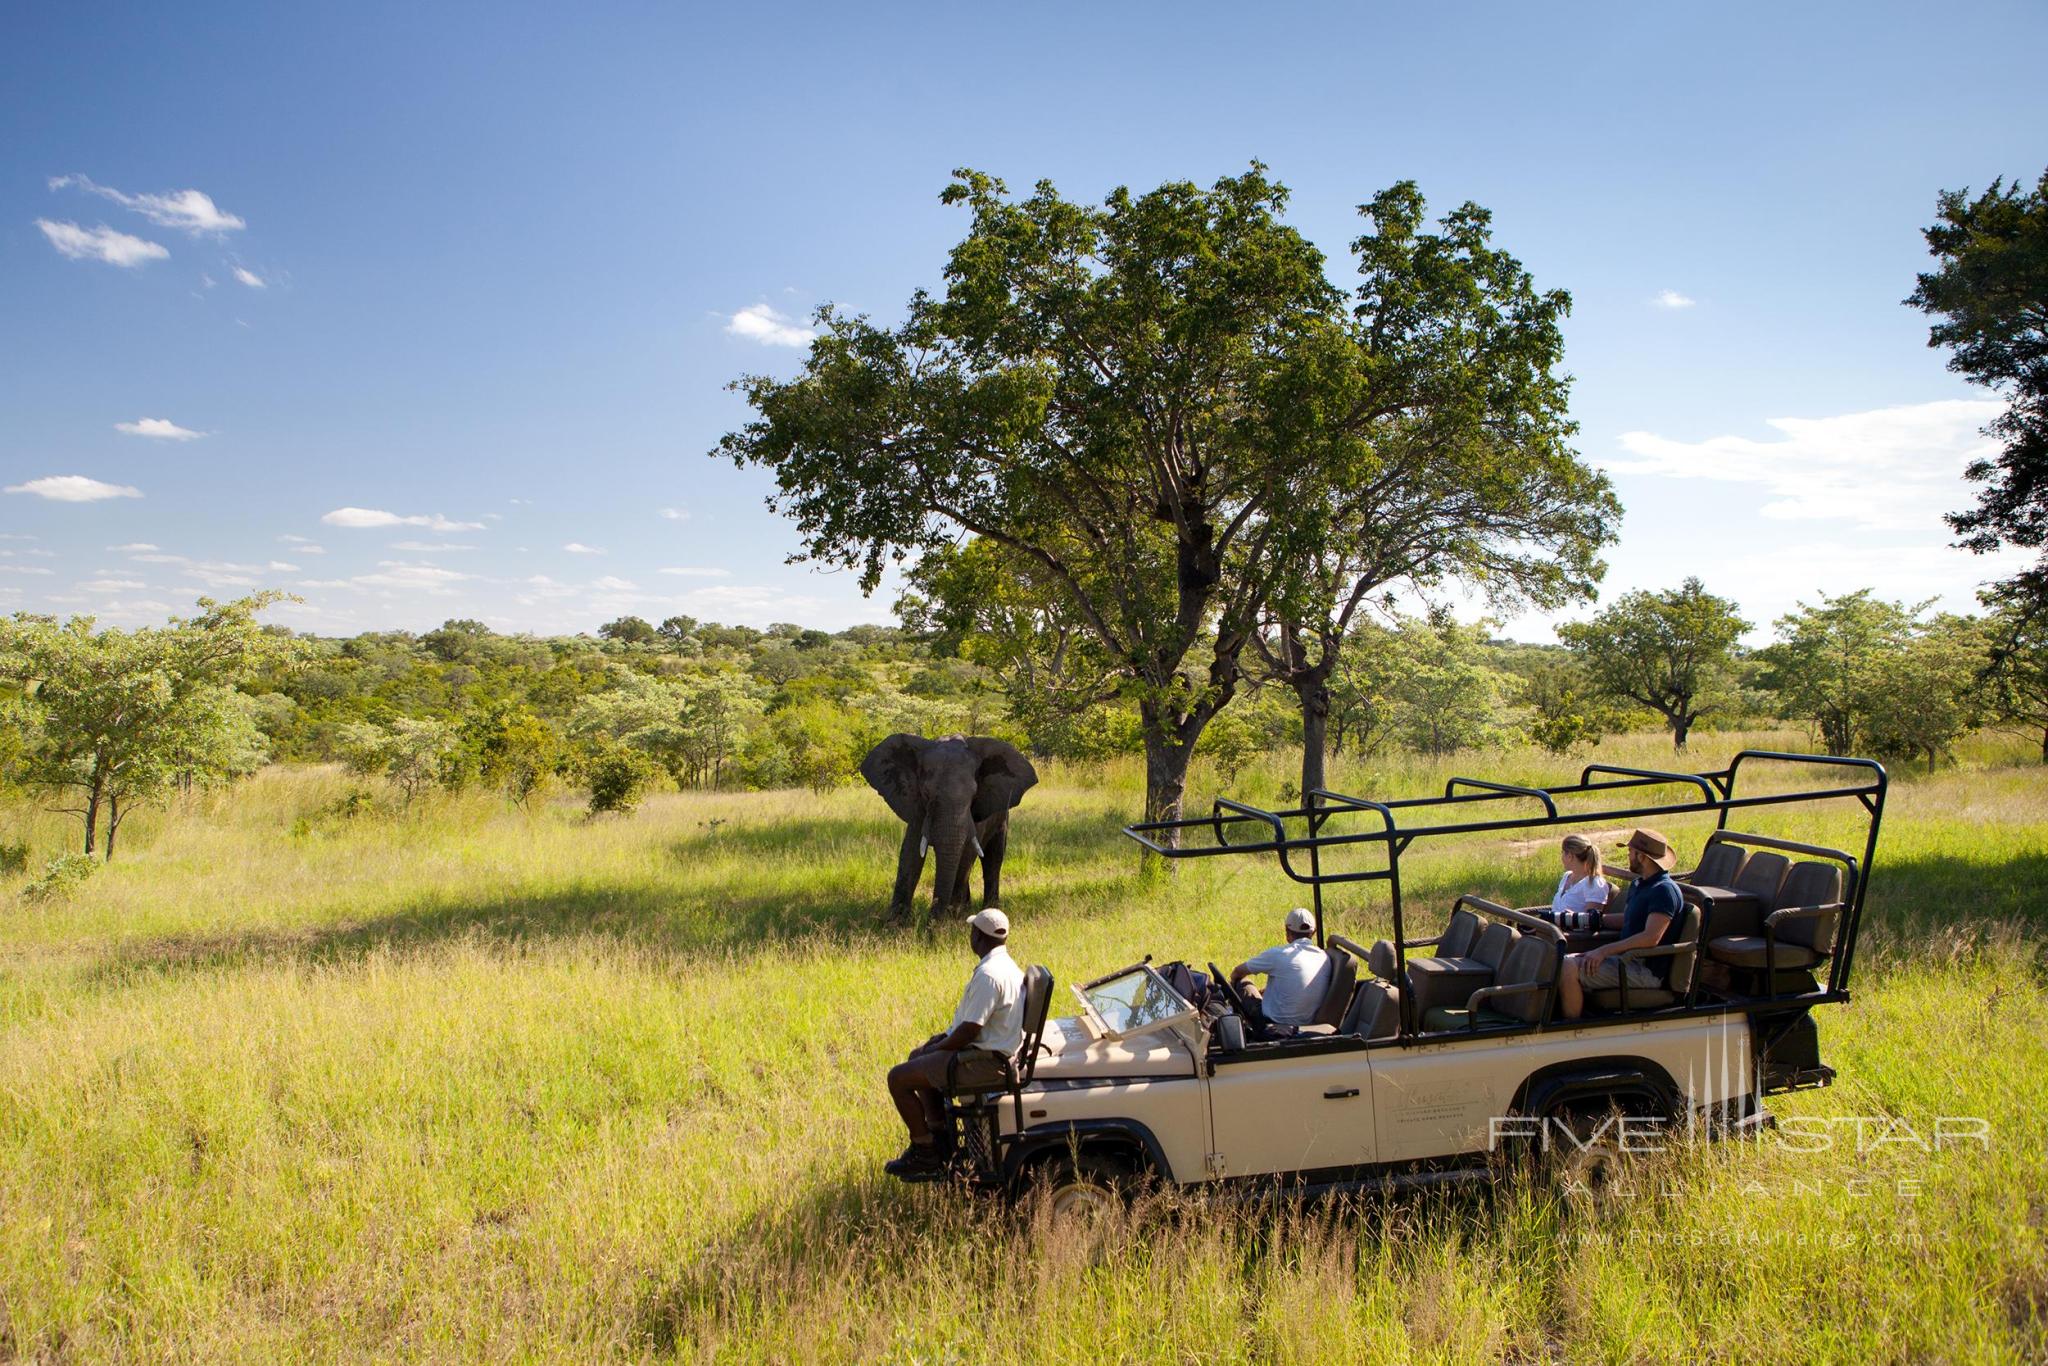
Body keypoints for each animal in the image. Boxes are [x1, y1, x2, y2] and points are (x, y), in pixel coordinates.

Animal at [860, 733, 1040, 925]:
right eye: (926, 793)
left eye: (974, 795)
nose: (929, 924)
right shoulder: (917, 806)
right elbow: (910, 853)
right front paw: (895, 924)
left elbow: (966, 853)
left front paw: (950, 921)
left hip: (1002, 817)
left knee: (993, 859)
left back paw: (987, 911)